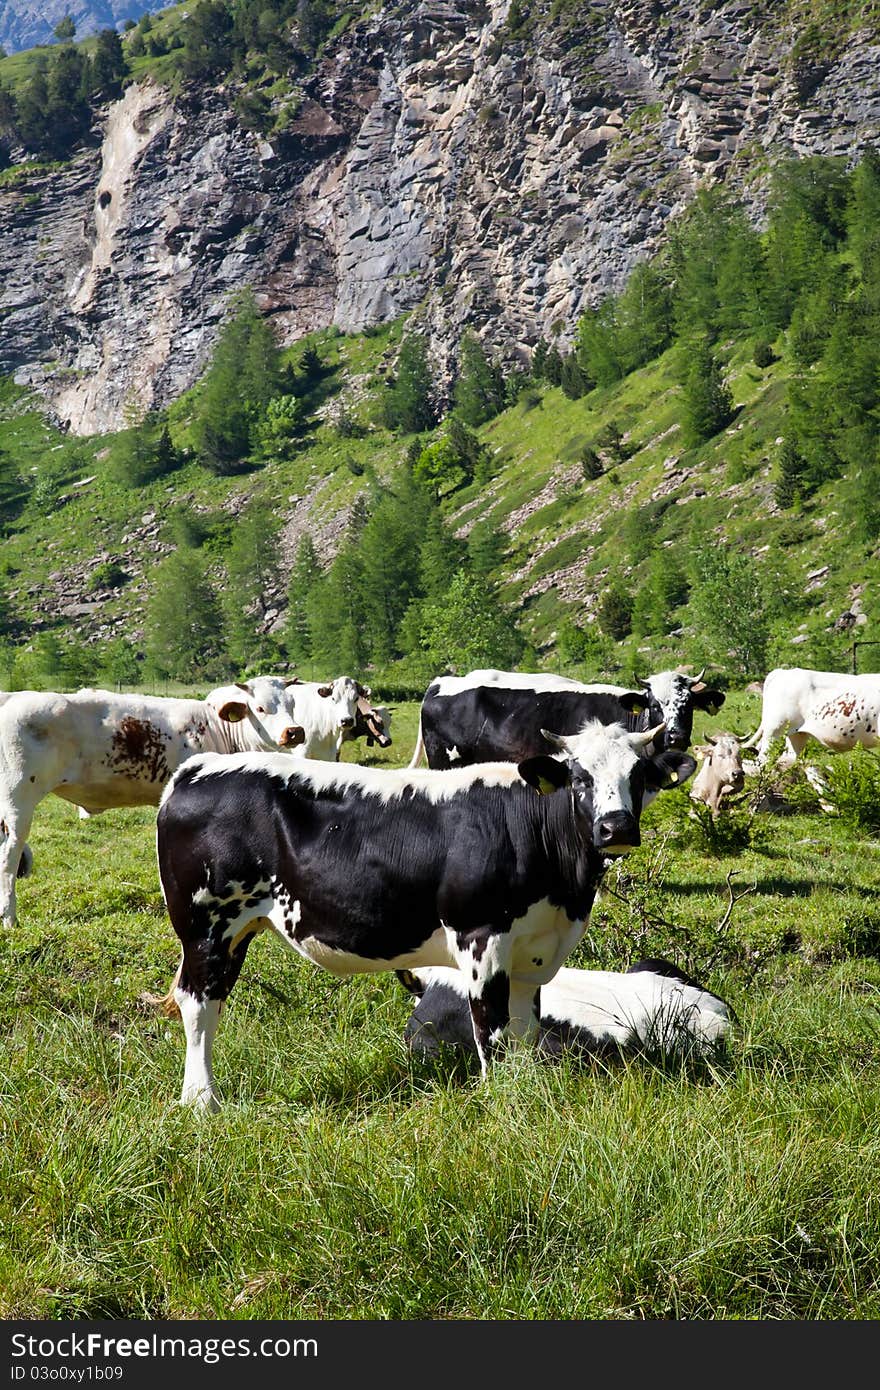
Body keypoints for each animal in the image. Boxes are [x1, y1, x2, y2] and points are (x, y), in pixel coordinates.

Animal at [0, 678, 305, 928]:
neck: (215, 728)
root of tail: (12, 697)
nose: (294, 731)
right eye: (261, 708)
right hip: (18, 800)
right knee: (9, 855)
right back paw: (10, 918)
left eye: (292, 704)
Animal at [154, 717, 697, 1106]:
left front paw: (527, 1094)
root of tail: (195, 770)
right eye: (580, 778)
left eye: (639, 776)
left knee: (209, 999)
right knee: (199, 1005)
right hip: (206, 924)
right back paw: (202, 1101)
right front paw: (502, 1104)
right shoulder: (481, 937)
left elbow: (525, 1031)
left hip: (236, 929)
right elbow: (492, 1029)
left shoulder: (534, 951)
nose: (616, 827)